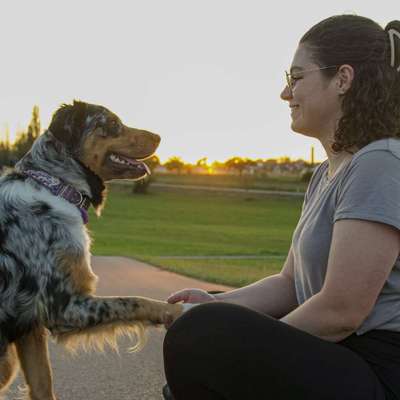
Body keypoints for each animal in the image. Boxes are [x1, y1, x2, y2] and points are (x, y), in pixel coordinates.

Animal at [0, 101, 184, 398]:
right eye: (112, 123)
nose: (158, 137)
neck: (57, 187)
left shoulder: (30, 325)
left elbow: (43, 385)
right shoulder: (64, 307)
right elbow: (135, 300)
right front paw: (178, 311)